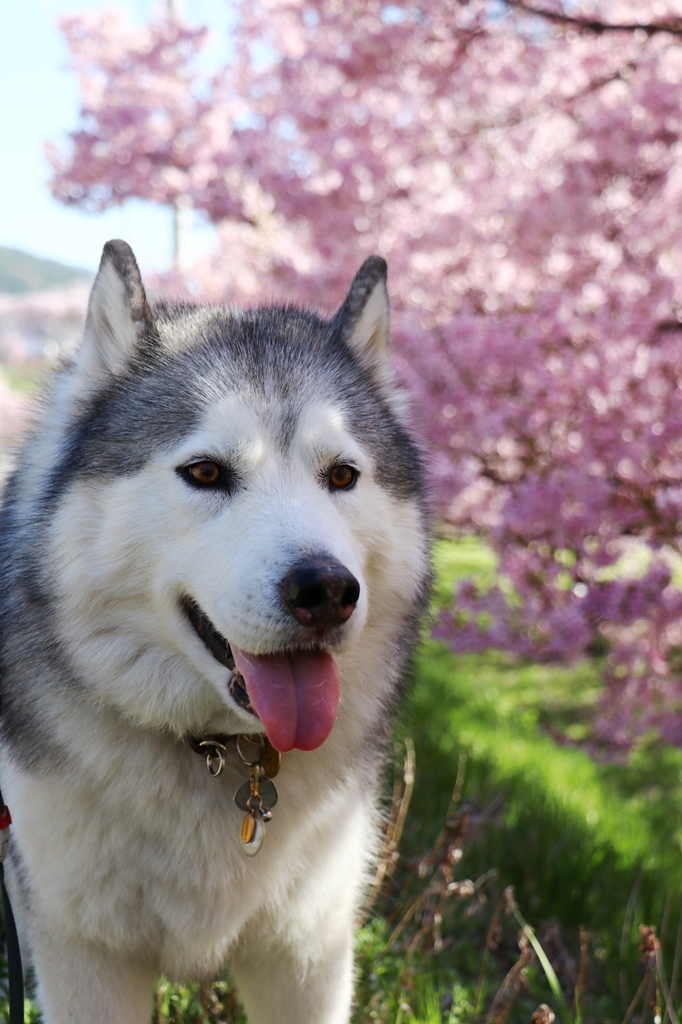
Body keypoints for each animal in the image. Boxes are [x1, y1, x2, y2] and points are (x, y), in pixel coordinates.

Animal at [0, 241, 425, 1024]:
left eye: (342, 476)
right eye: (204, 471)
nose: (326, 591)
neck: (221, 754)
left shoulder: (307, 956)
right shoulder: (83, 959)